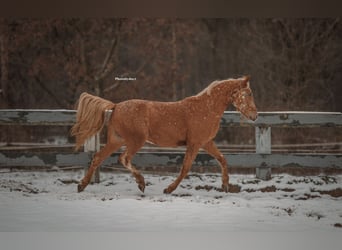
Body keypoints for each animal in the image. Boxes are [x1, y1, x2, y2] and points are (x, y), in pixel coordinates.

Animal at [71, 75, 256, 193]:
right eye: (248, 93)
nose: (255, 115)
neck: (206, 108)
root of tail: (115, 106)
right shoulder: (195, 143)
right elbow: (185, 168)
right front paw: (169, 189)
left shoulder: (206, 142)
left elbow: (222, 159)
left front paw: (225, 186)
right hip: (135, 140)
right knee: (124, 159)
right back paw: (141, 183)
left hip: (116, 140)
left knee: (97, 158)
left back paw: (82, 186)